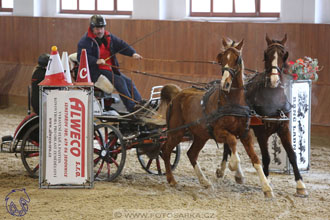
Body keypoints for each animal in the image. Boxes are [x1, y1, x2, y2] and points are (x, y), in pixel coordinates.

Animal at [162, 37, 274, 198]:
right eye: (222, 59)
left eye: (237, 59)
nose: (225, 84)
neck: (231, 101)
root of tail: (177, 96)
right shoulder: (219, 132)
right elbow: (232, 141)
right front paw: (234, 167)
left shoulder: (245, 134)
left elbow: (255, 158)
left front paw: (266, 187)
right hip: (176, 132)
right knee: (166, 151)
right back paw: (171, 180)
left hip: (201, 135)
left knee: (191, 154)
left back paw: (205, 182)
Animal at [218, 34, 308, 198]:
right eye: (266, 54)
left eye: (284, 55)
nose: (274, 80)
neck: (272, 98)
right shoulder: (261, 133)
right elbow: (266, 157)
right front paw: (266, 181)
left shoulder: (284, 128)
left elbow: (292, 155)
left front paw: (300, 185)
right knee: (228, 146)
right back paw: (223, 170)